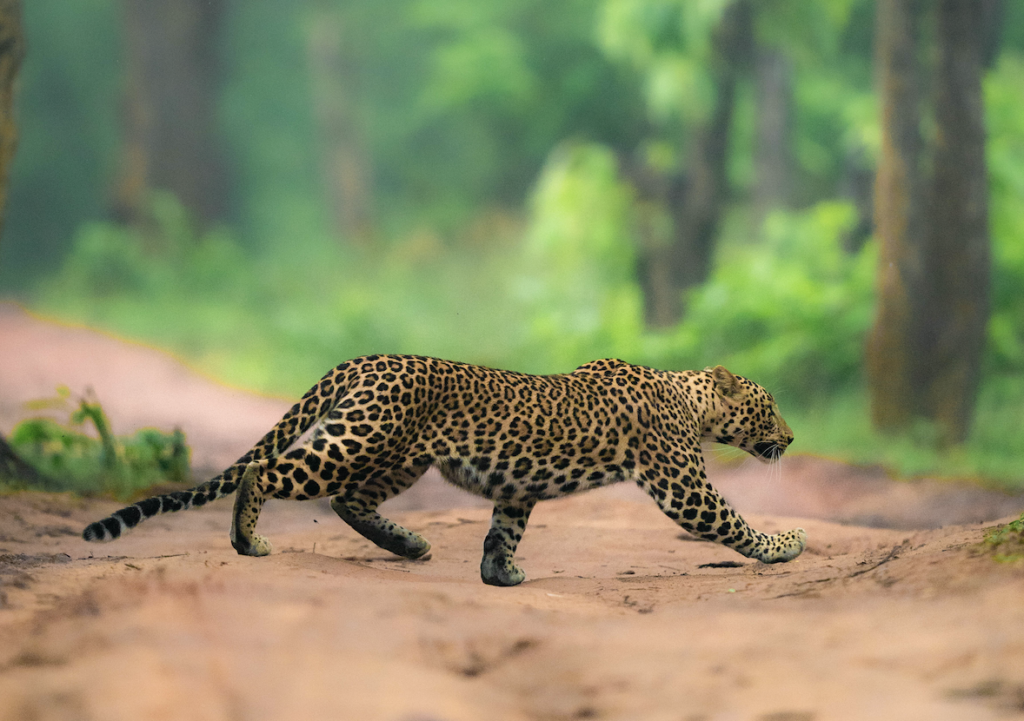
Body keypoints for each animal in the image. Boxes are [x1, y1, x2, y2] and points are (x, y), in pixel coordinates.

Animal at [79, 354, 802, 585]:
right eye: (769, 407)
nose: (793, 439)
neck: (691, 398)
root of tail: (363, 360)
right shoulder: (682, 486)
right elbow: (732, 521)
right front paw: (787, 544)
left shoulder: (519, 488)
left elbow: (503, 530)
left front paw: (499, 575)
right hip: (358, 440)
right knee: (268, 473)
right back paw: (247, 539)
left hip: (398, 457)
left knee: (347, 500)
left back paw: (410, 544)